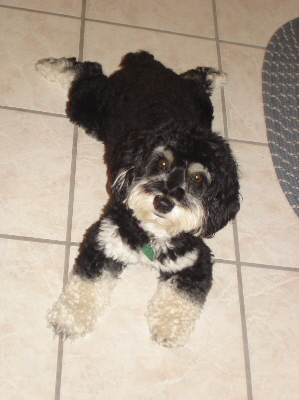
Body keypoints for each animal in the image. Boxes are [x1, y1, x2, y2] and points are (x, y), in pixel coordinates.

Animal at [35, 50, 241, 346]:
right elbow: (87, 284)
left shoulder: (195, 261)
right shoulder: (103, 241)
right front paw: (68, 318)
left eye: (198, 178)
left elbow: (180, 296)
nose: (163, 202)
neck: (153, 233)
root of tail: (143, 61)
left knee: (195, 78)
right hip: (91, 107)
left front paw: (168, 327)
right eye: (162, 163)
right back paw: (51, 66)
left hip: (202, 107)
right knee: (86, 72)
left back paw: (215, 75)